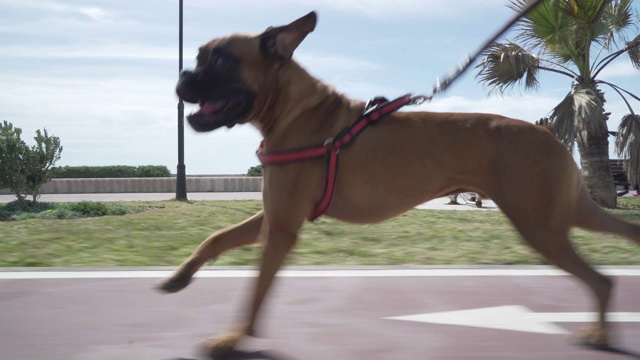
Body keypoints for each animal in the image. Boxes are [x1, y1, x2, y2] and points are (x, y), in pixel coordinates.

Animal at [160, 11, 640, 358]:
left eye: (221, 59)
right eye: (199, 57)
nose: (181, 79)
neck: (295, 110)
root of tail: (547, 134)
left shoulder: (280, 228)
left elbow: (254, 293)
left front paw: (233, 338)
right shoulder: (272, 217)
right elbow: (216, 238)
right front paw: (180, 276)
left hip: (540, 225)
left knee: (597, 279)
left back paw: (600, 334)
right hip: (567, 212)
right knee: (613, 257)